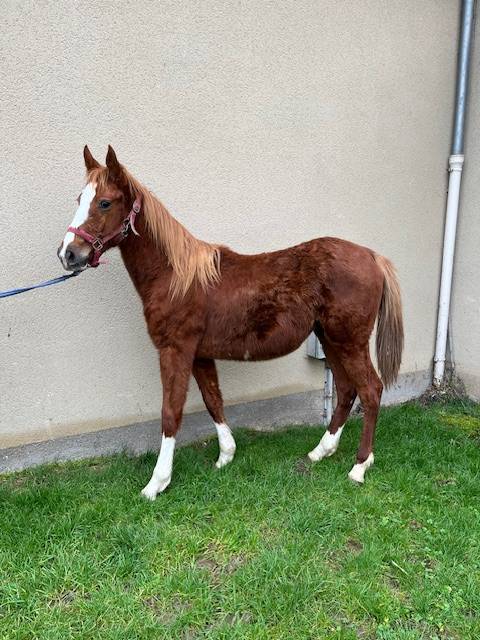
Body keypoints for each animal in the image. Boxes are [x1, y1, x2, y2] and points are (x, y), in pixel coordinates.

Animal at [58, 145, 403, 500]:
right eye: (80, 198)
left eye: (104, 202)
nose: (68, 254)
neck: (176, 277)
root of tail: (372, 257)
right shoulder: (199, 354)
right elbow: (213, 400)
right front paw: (225, 455)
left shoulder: (175, 350)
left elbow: (171, 412)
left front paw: (157, 483)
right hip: (329, 337)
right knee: (347, 389)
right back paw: (321, 452)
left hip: (349, 340)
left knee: (371, 390)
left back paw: (359, 466)